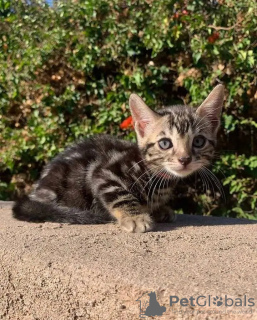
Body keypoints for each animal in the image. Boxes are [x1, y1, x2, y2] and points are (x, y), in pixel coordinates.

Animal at [13, 85, 223, 232]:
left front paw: (159, 210)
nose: (184, 159)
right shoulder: (103, 172)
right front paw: (135, 217)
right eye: (165, 143)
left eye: (198, 141)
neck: (155, 175)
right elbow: (120, 194)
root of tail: (37, 192)